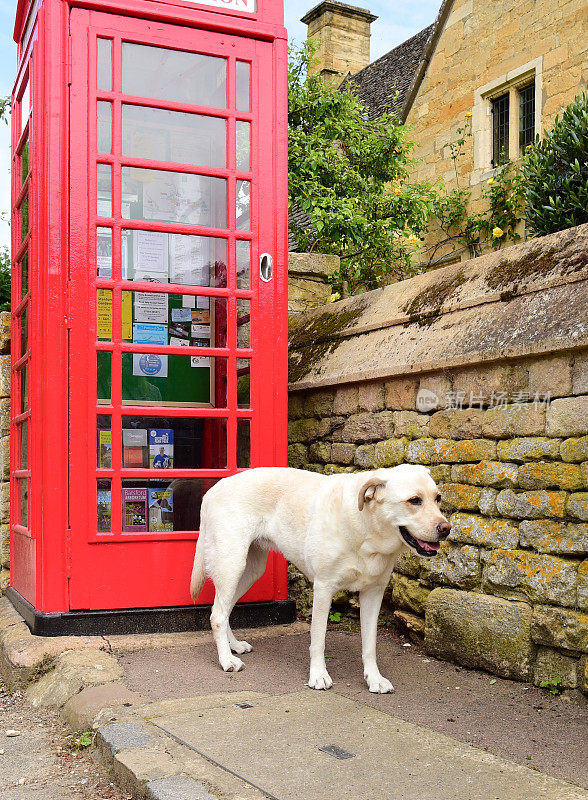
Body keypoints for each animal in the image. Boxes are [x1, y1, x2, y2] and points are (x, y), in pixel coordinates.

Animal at [191, 462, 448, 692]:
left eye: (438, 498)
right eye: (414, 500)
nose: (446, 529)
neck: (367, 530)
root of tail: (213, 490)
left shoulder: (373, 593)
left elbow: (370, 644)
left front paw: (374, 679)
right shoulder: (323, 588)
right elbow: (318, 639)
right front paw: (318, 676)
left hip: (250, 572)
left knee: (223, 610)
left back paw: (233, 646)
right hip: (232, 564)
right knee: (217, 615)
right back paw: (226, 660)